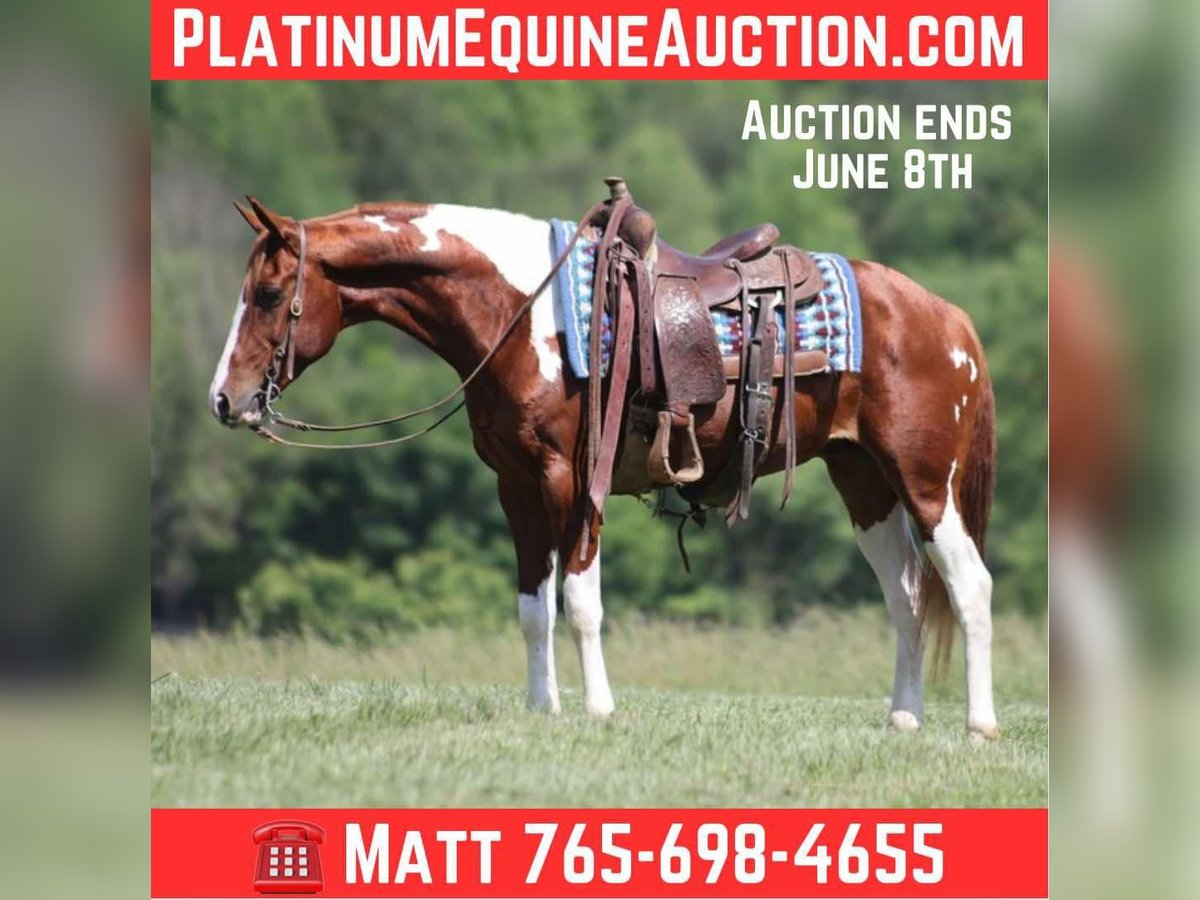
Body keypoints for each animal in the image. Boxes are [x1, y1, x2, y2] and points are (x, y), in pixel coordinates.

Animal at [208, 195, 999, 741]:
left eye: (270, 295)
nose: (225, 399)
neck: (523, 315)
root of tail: (949, 317)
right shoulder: (517, 488)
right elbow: (533, 609)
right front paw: (542, 709)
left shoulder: (572, 481)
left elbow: (580, 602)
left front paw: (596, 709)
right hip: (863, 481)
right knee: (905, 594)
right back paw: (904, 718)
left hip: (927, 484)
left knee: (968, 586)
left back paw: (979, 725)